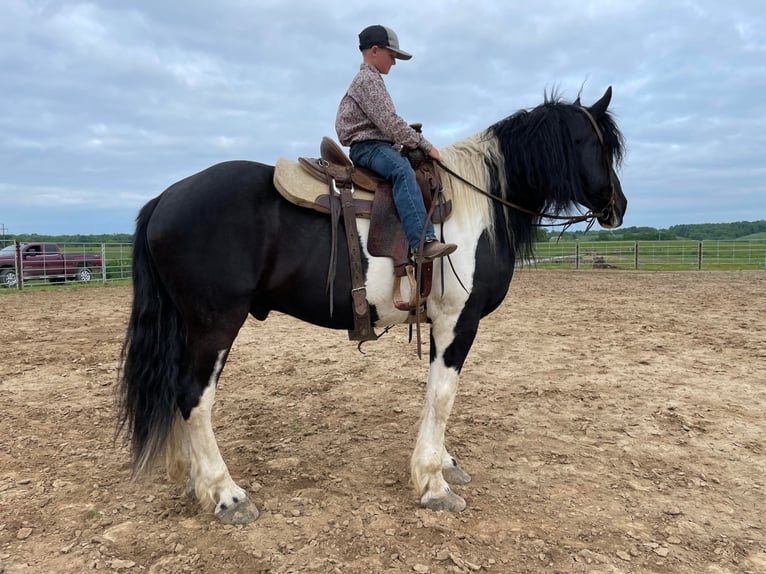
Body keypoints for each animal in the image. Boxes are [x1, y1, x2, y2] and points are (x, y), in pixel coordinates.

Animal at [117, 86, 628, 528]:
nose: (618, 206)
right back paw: (226, 494)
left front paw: (442, 463)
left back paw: (192, 480)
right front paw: (433, 485)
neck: (477, 204)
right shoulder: (457, 321)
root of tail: (165, 198)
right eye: (602, 146)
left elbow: (433, 393)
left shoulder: (440, 324)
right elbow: (443, 395)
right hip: (215, 325)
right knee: (194, 398)